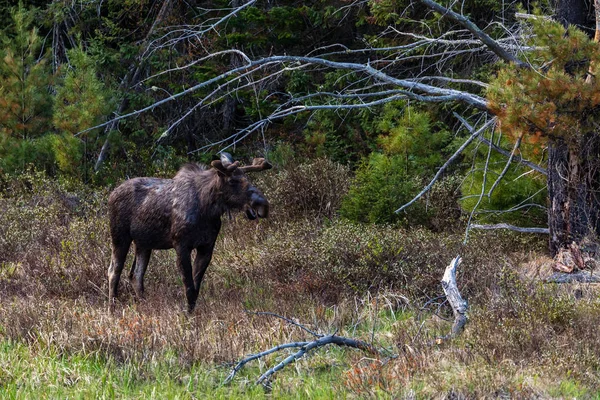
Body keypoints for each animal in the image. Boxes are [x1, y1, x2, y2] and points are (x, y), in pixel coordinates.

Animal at [108, 153, 272, 312]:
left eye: (247, 178)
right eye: (232, 181)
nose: (263, 205)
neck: (207, 208)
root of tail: (111, 194)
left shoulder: (206, 247)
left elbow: (196, 289)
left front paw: (192, 314)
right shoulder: (181, 245)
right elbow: (189, 289)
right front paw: (188, 317)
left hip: (143, 244)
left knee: (136, 275)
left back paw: (144, 307)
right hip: (120, 237)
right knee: (114, 272)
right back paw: (112, 310)